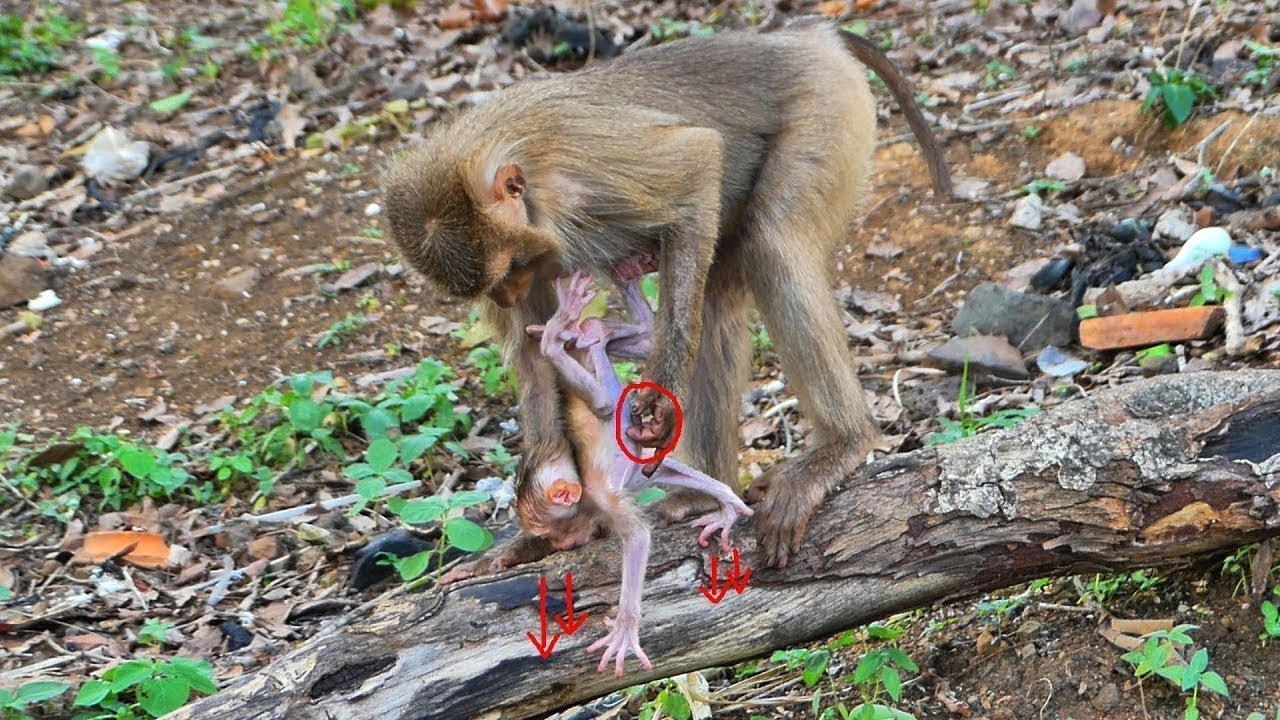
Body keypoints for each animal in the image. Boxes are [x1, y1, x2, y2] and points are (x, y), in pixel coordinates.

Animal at [383, 20, 952, 568]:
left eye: (512, 268)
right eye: (496, 284)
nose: (506, 297)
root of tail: (807, 36)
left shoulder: (582, 178)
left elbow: (696, 162)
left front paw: (655, 400)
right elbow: (533, 357)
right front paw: (534, 534)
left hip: (826, 106)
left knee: (771, 243)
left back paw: (841, 446)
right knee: (717, 298)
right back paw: (707, 490)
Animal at [527, 271, 752, 675]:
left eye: (548, 532)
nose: (559, 545)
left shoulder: (603, 494)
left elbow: (637, 539)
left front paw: (625, 629)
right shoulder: (632, 473)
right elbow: (661, 472)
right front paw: (726, 504)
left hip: (598, 381)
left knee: (602, 397)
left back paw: (560, 335)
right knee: (633, 343)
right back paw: (588, 327)